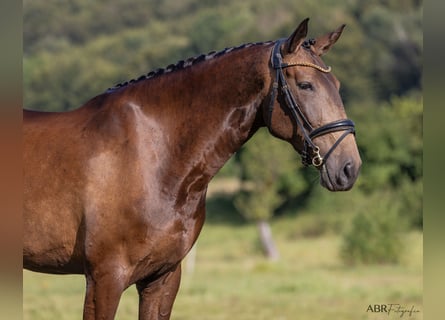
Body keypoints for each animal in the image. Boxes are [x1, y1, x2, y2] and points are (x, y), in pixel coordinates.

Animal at [22, 18, 360, 318]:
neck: (152, 155)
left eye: (337, 85)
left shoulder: (163, 277)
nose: (349, 167)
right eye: (305, 85)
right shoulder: (104, 279)